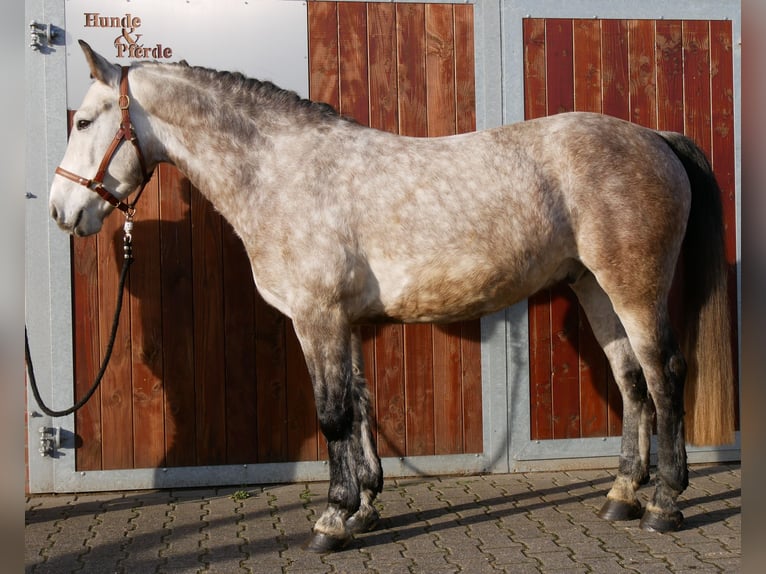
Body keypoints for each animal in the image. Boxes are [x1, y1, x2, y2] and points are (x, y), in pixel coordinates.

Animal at [49, 41, 735, 551]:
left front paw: (332, 519)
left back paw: (665, 503)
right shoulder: (343, 320)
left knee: (665, 375)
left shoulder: (316, 317)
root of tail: (655, 137)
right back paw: (621, 495)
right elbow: (360, 405)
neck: (282, 172)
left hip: (634, 288)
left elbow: (331, 414)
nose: (61, 210)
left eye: (83, 121)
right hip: (595, 288)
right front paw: (365, 507)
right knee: (631, 380)